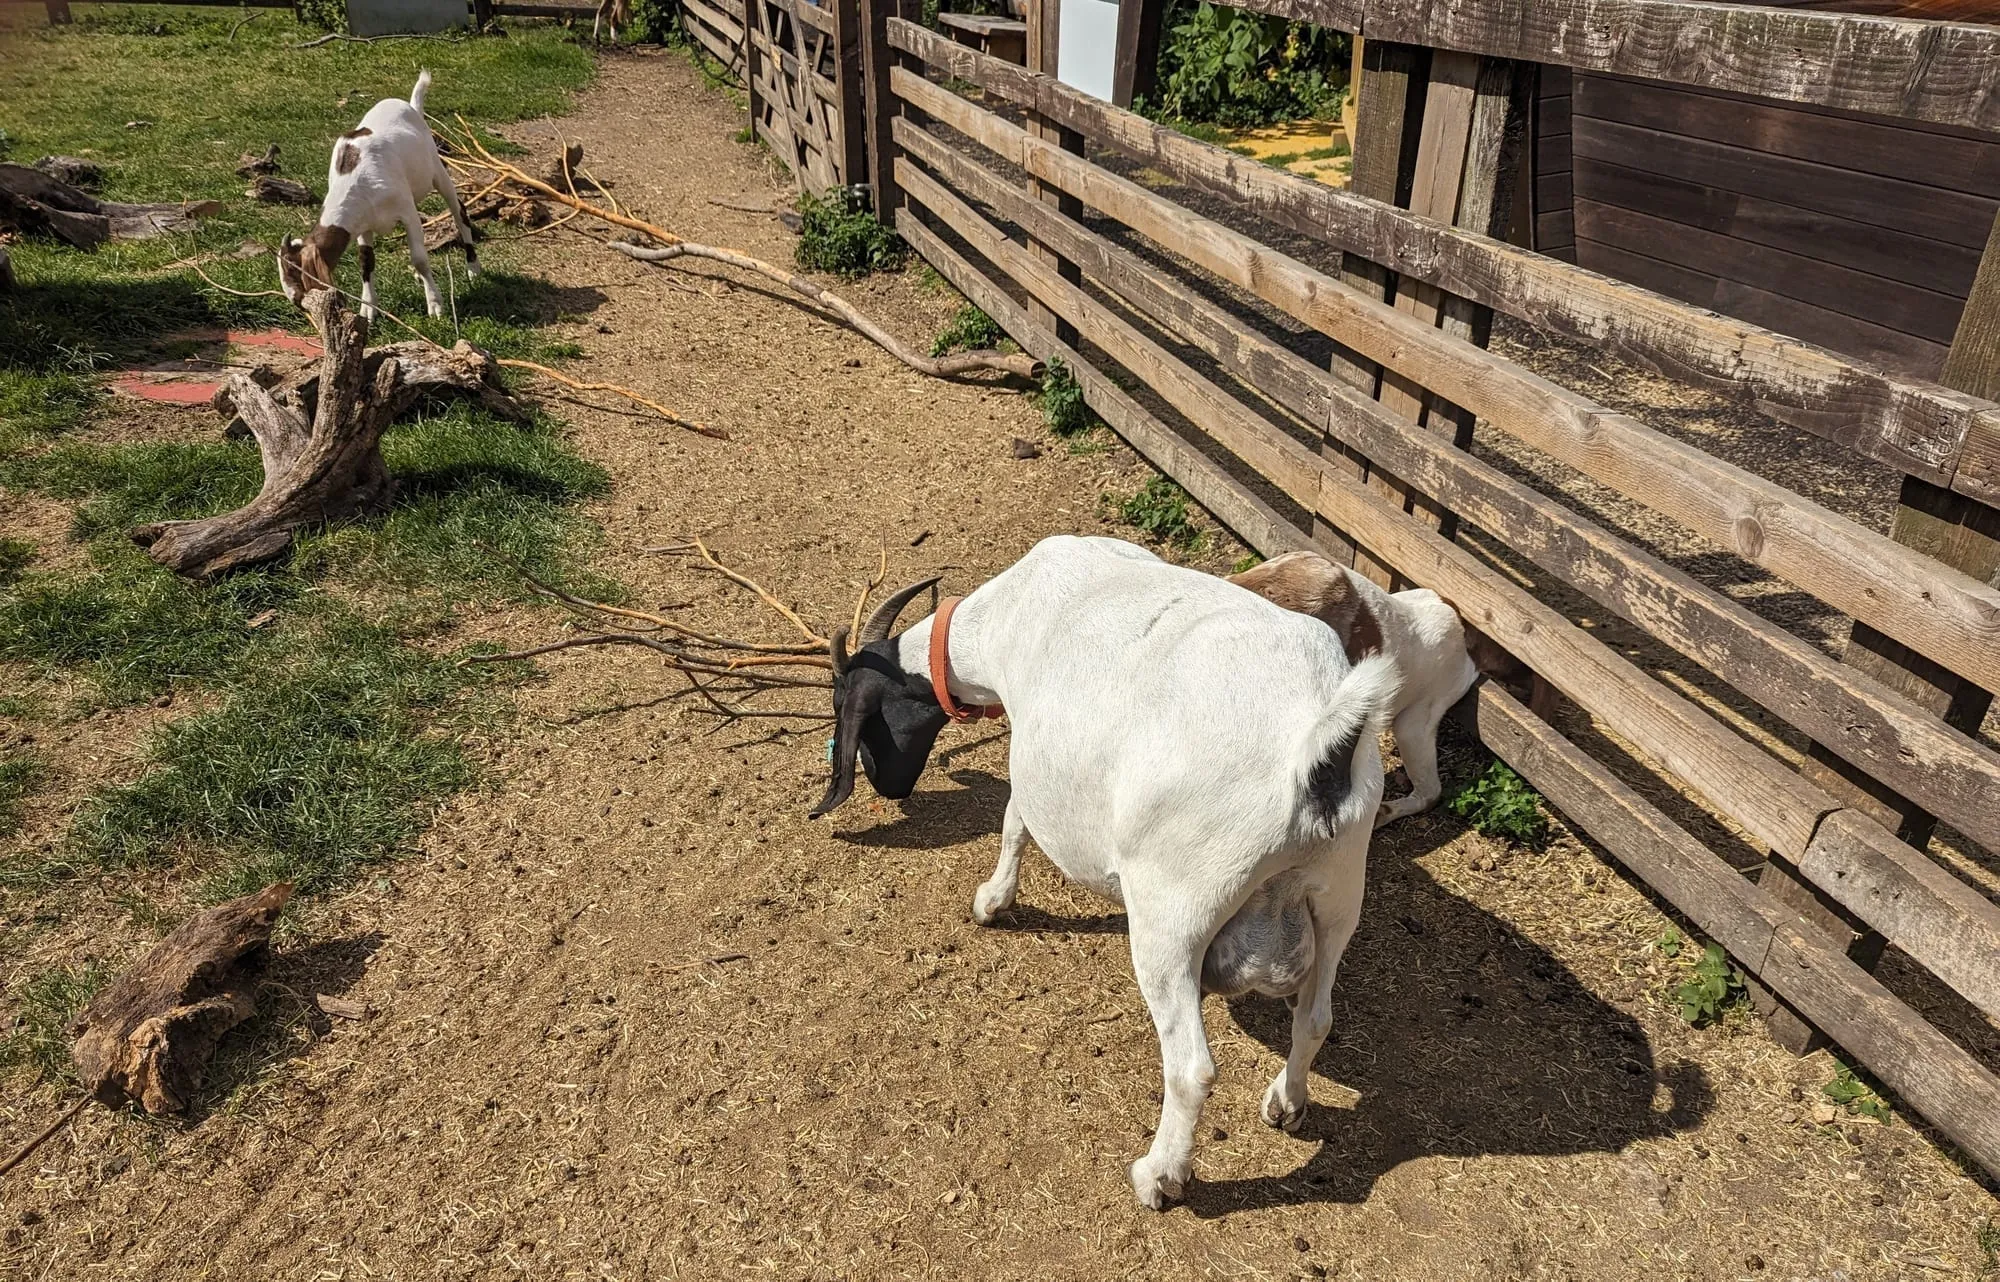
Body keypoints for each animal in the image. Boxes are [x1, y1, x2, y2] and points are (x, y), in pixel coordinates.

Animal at [277, 70, 477, 321]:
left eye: (294, 268)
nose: (295, 300)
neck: (355, 182)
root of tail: (410, 106)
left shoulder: (407, 212)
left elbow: (420, 259)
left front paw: (435, 305)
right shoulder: (363, 226)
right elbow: (366, 262)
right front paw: (368, 309)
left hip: (437, 170)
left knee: (459, 211)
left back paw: (473, 269)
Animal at [811, 535, 1397, 1208]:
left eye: (845, 708)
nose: (889, 787)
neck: (1003, 617)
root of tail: (1316, 750)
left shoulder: (1033, 754)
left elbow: (1015, 820)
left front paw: (992, 901)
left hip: (1173, 914)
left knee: (1192, 1067)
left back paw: (1160, 1177)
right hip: (1339, 893)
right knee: (1316, 1016)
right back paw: (1286, 1104)